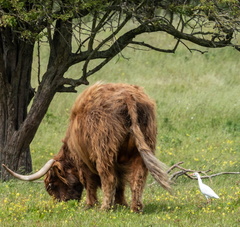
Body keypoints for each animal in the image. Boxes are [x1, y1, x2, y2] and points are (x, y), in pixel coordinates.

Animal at [2, 82, 171, 212]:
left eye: (50, 185)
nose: (61, 203)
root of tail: (128, 96)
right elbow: (121, 183)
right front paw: (121, 204)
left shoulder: (84, 161)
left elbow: (90, 182)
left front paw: (90, 205)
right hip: (141, 148)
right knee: (138, 176)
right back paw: (135, 208)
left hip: (104, 150)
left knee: (108, 177)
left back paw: (104, 208)